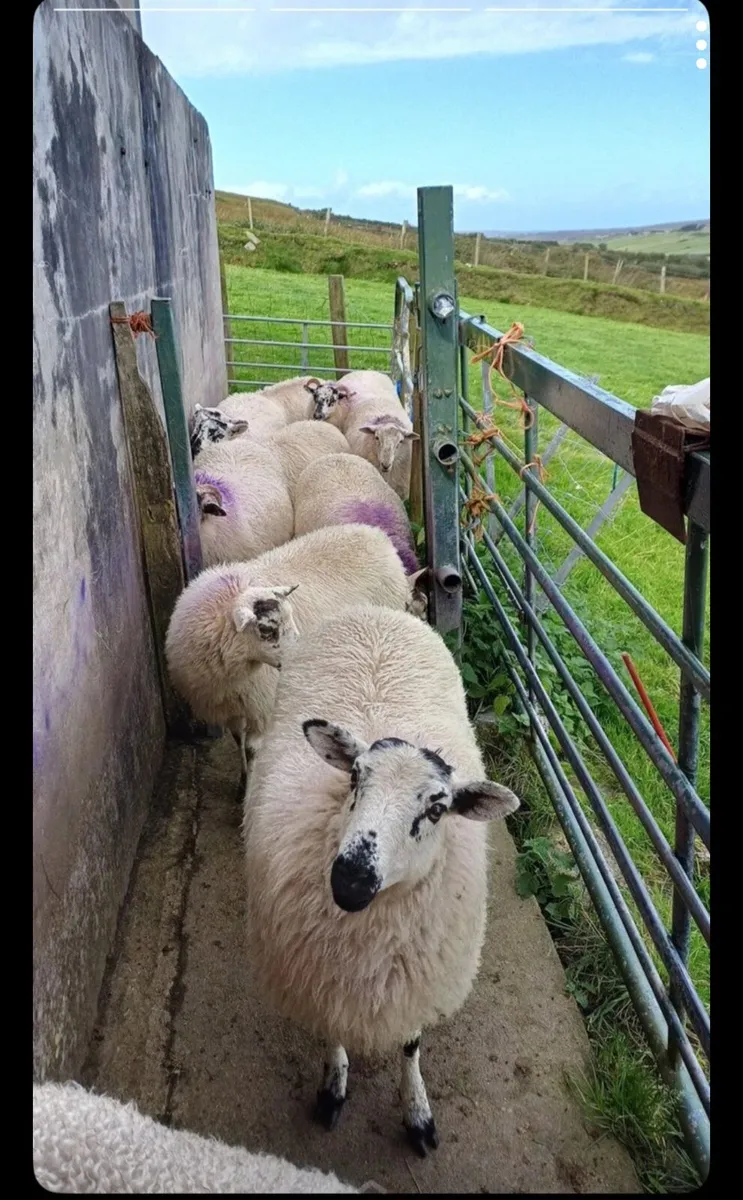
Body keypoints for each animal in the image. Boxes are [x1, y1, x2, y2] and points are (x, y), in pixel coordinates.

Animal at [165, 525, 413, 797]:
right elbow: (237, 740)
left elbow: (251, 749)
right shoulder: (231, 704)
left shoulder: (261, 706)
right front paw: (242, 782)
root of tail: (375, 533)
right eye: (266, 629)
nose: (301, 653)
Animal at [243, 604, 520, 1156]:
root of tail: (374, 611)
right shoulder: (322, 979)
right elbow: (331, 1032)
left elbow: (411, 1046)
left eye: (436, 809)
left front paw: (417, 1113)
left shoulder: (417, 983)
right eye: (354, 777)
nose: (350, 880)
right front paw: (333, 1089)